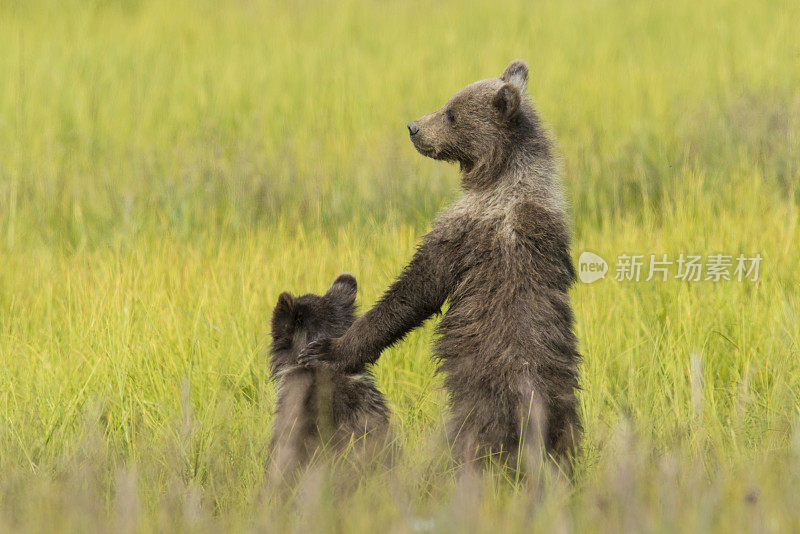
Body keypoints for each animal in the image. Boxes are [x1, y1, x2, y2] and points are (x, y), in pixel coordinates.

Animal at [300, 61, 580, 474]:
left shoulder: (462, 234)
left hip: (477, 412)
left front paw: (327, 350)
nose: (413, 127)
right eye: (448, 102)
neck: (502, 178)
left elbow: (413, 292)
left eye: (451, 113)